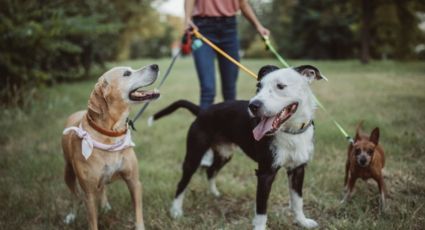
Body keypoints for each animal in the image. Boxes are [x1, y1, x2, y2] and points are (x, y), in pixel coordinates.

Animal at [60, 63, 158, 229]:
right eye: (127, 73)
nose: (155, 66)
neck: (111, 134)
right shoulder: (89, 194)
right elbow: (92, 221)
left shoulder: (134, 182)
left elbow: (138, 213)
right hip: (68, 172)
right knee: (75, 195)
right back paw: (72, 215)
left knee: (102, 187)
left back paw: (105, 205)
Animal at [151, 65, 322, 230]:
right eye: (258, 86)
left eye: (280, 86)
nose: (253, 106)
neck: (291, 132)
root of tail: (202, 110)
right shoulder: (265, 173)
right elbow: (261, 210)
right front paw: (260, 227)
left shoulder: (298, 169)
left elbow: (298, 201)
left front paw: (302, 222)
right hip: (194, 156)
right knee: (182, 183)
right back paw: (176, 211)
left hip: (224, 154)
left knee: (210, 170)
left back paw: (214, 193)